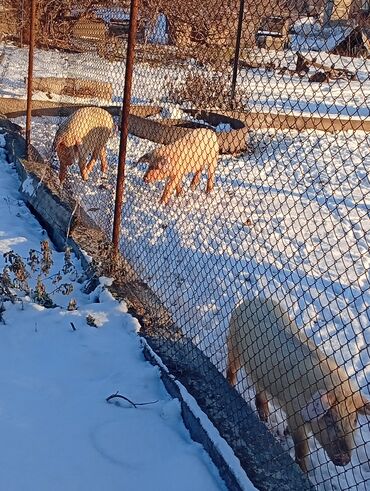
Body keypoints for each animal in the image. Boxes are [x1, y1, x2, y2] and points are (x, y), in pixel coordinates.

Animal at [225, 296, 370, 472]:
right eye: (329, 416)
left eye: (355, 420)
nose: (344, 460)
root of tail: (250, 299)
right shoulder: (294, 411)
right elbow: (302, 446)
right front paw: (304, 472)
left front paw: (285, 432)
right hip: (233, 342)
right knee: (232, 368)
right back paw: (230, 386)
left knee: (259, 387)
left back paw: (264, 416)